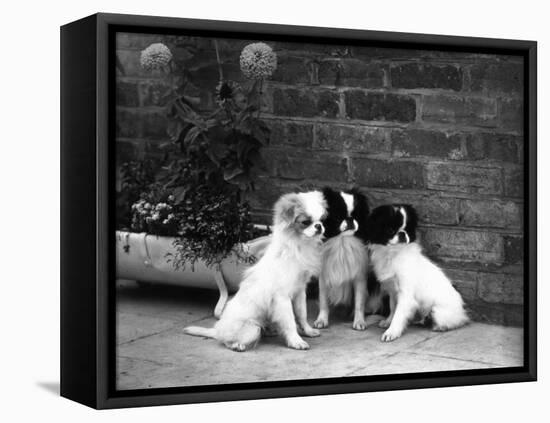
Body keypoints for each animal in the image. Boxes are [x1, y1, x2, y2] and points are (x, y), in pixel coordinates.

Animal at [184, 191, 328, 352]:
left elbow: (302, 314)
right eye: (305, 222)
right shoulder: (282, 297)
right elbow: (290, 320)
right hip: (252, 329)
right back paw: (237, 345)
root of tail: (218, 329)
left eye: (322, 220)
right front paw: (296, 341)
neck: (298, 246)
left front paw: (307, 331)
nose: (319, 226)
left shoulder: (300, 291)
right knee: (226, 340)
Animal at [314, 188, 370, 332]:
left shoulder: (359, 277)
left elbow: (359, 301)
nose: (350, 219)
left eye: (356, 215)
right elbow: (323, 301)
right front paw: (322, 320)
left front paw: (359, 321)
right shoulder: (324, 276)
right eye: (338, 216)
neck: (342, 243)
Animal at [366, 204, 470, 342]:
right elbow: (393, 308)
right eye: (390, 229)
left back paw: (440, 327)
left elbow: (399, 314)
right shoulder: (393, 292)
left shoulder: (405, 295)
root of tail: (462, 309)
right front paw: (388, 322)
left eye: (407, 229)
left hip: (438, 311)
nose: (402, 233)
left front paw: (392, 332)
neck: (393, 254)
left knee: (457, 322)